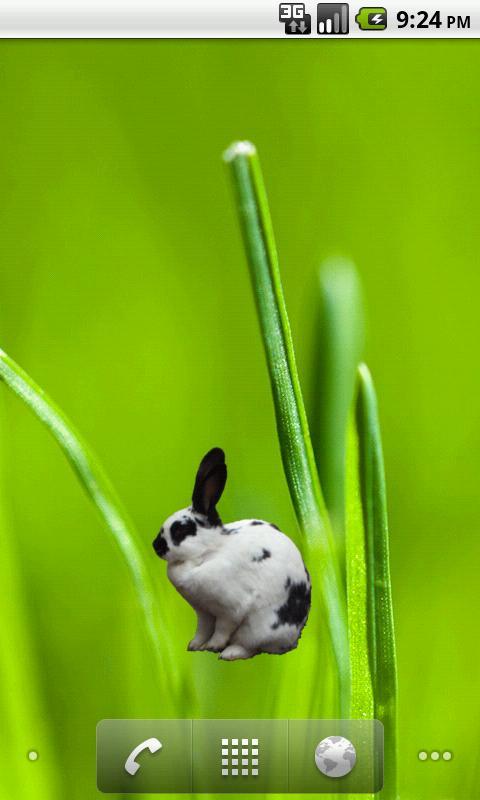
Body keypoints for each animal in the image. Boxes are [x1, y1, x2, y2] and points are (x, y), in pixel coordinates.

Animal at [152, 447, 311, 660]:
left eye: (180, 530)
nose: (156, 546)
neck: (208, 552)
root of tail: (294, 639)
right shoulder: (203, 612)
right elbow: (202, 629)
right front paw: (194, 646)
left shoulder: (230, 610)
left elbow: (221, 630)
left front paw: (213, 646)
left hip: (258, 628)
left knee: (251, 647)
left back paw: (229, 653)